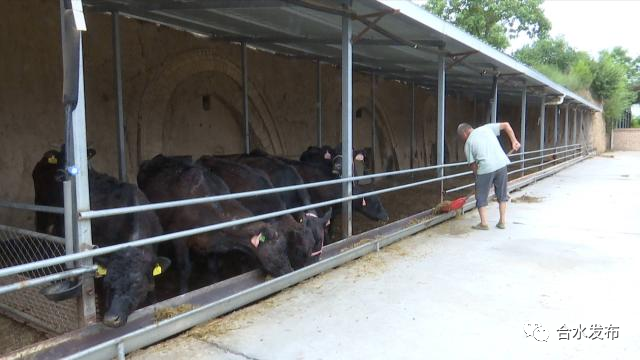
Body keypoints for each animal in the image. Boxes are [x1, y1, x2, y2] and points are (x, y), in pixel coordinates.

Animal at [139, 154, 294, 292]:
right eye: (277, 250)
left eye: (287, 247)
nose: (290, 271)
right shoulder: (179, 238)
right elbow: (185, 269)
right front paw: (183, 292)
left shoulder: (212, 240)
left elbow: (213, 268)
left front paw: (214, 284)